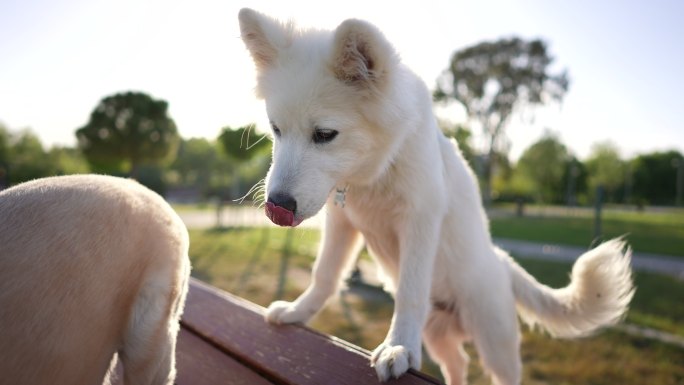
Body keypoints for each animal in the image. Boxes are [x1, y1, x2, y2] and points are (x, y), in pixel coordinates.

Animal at [238, 9, 632, 384]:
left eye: (324, 134)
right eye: (276, 129)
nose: (276, 207)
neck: (377, 170)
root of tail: (501, 261)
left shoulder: (419, 222)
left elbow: (410, 291)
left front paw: (397, 346)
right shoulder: (342, 223)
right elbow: (324, 275)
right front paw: (297, 313)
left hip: (497, 347)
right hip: (438, 336)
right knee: (459, 365)